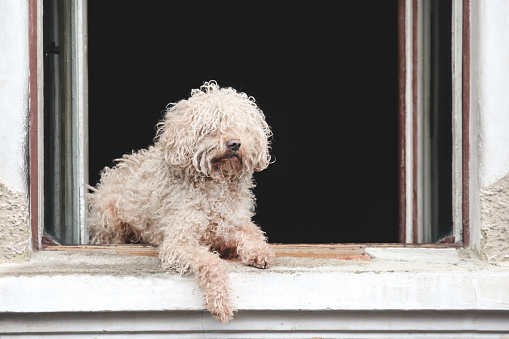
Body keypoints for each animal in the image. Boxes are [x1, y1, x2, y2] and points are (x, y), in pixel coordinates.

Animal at [89, 81, 276, 322]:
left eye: (241, 126)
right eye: (211, 127)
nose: (235, 143)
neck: (215, 187)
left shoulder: (231, 225)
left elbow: (252, 232)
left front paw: (260, 252)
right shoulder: (180, 241)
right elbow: (210, 262)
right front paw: (221, 303)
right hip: (110, 219)